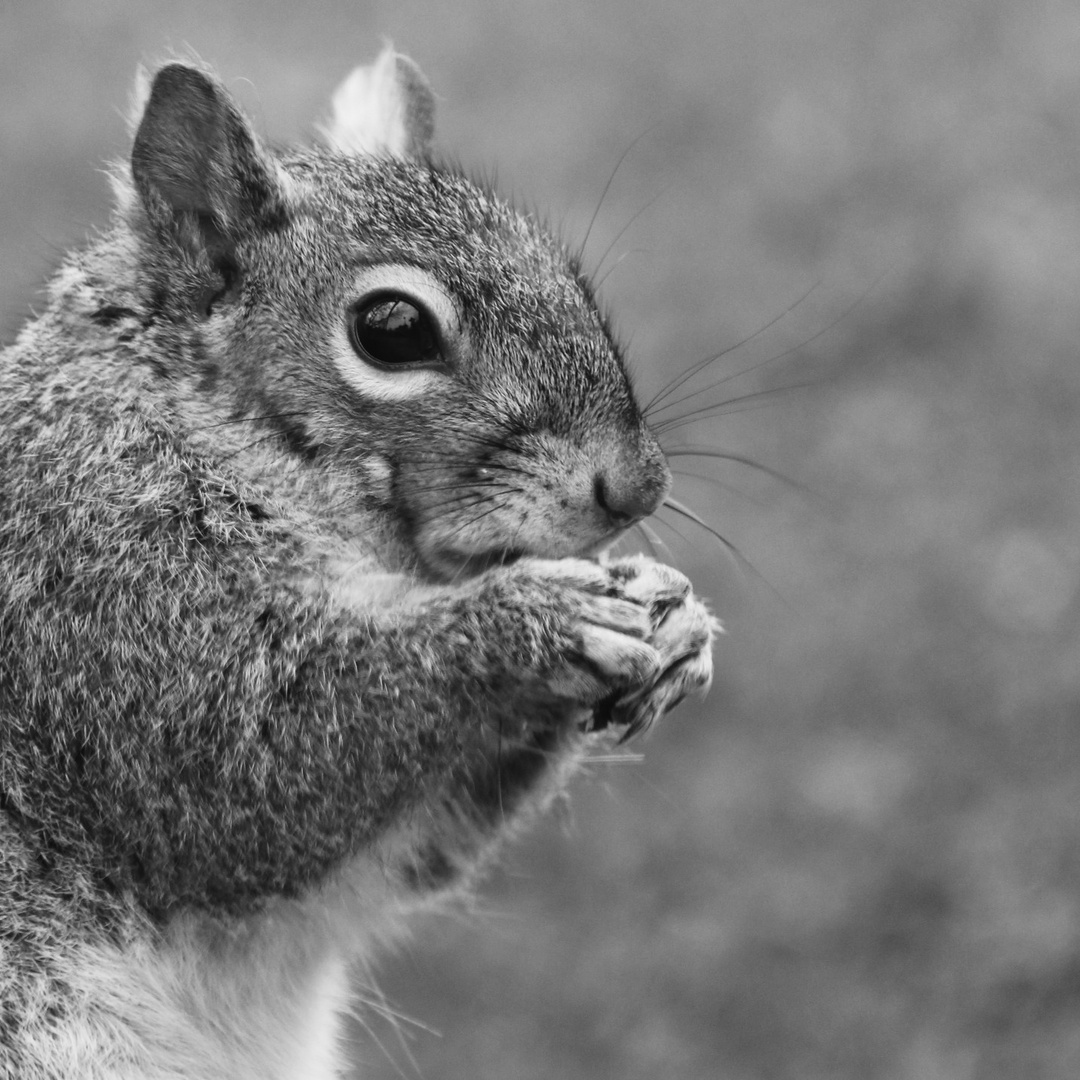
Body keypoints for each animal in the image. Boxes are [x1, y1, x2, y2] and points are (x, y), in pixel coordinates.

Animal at [0, 44, 717, 1080]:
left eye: (571, 280)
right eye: (392, 328)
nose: (637, 488)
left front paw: (680, 622)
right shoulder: (97, 585)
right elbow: (246, 767)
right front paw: (537, 619)